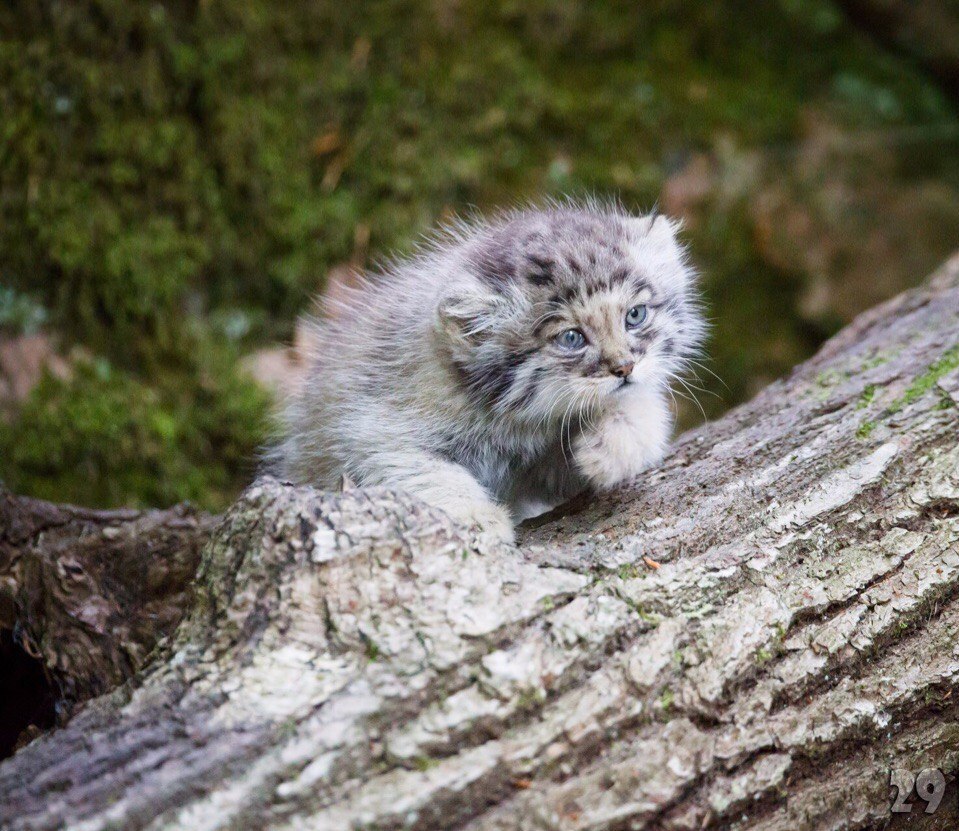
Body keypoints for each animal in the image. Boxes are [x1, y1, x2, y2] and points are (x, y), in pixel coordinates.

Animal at [270, 202, 704, 540]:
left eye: (635, 315)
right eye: (571, 338)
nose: (624, 367)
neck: (513, 421)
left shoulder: (546, 466)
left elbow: (637, 409)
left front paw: (612, 446)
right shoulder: (370, 432)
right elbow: (422, 470)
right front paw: (477, 518)